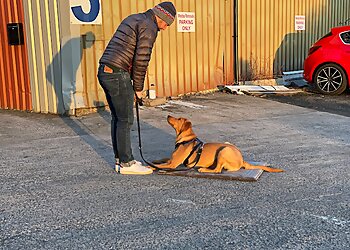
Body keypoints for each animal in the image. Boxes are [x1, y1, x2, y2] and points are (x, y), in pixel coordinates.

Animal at [152, 115, 284, 173]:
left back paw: (203, 169)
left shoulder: (173, 164)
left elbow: (160, 165)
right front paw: (155, 160)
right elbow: (163, 159)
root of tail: (242, 160)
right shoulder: (171, 160)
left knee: (217, 170)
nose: (168, 115)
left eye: (179, 119)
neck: (185, 139)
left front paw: (151, 166)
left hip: (223, 150)